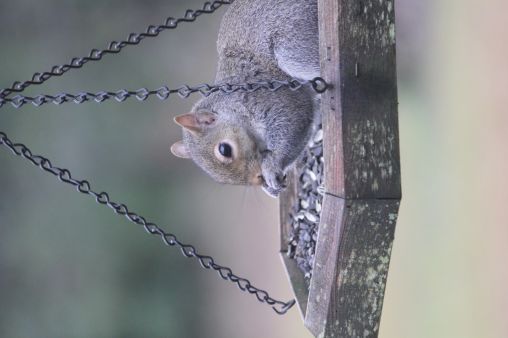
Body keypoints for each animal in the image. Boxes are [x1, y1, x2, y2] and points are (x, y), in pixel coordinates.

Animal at [173, 0, 320, 197]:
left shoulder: (270, 98)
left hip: (293, 44)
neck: (231, 105)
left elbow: (293, 120)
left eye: (225, 150)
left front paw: (271, 167)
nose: (258, 178)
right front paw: (270, 187)